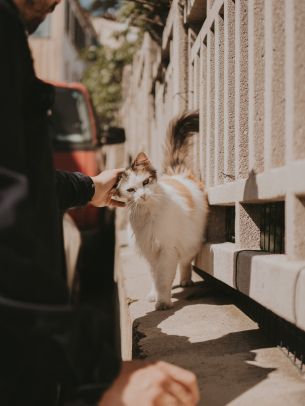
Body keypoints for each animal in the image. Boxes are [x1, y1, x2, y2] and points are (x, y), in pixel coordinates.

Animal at [115, 111, 208, 310]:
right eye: (131, 190)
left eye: (145, 182)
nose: (143, 195)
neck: (147, 214)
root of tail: (178, 173)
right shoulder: (150, 251)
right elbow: (155, 276)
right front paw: (155, 294)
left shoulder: (167, 250)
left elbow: (163, 278)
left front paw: (163, 302)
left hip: (191, 239)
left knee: (186, 261)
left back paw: (186, 280)